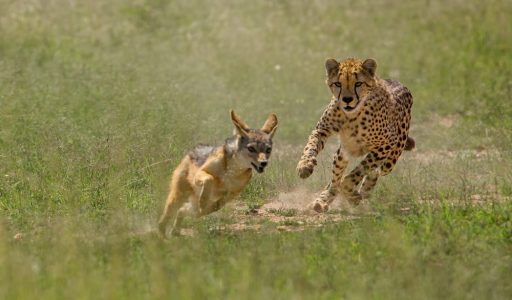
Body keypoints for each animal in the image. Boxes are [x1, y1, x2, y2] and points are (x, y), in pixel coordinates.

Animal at [298, 57, 414, 212]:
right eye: (338, 84)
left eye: (358, 83)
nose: (347, 99)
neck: (351, 115)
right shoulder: (321, 130)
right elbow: (310, 146)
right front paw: (305, 166)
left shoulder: (387, 143)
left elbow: (360, 170)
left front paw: (352, 193)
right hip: (342, 153)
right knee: (335, 180)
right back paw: (322, 201)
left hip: (391, 160)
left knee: (375, 171)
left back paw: (362, 191)